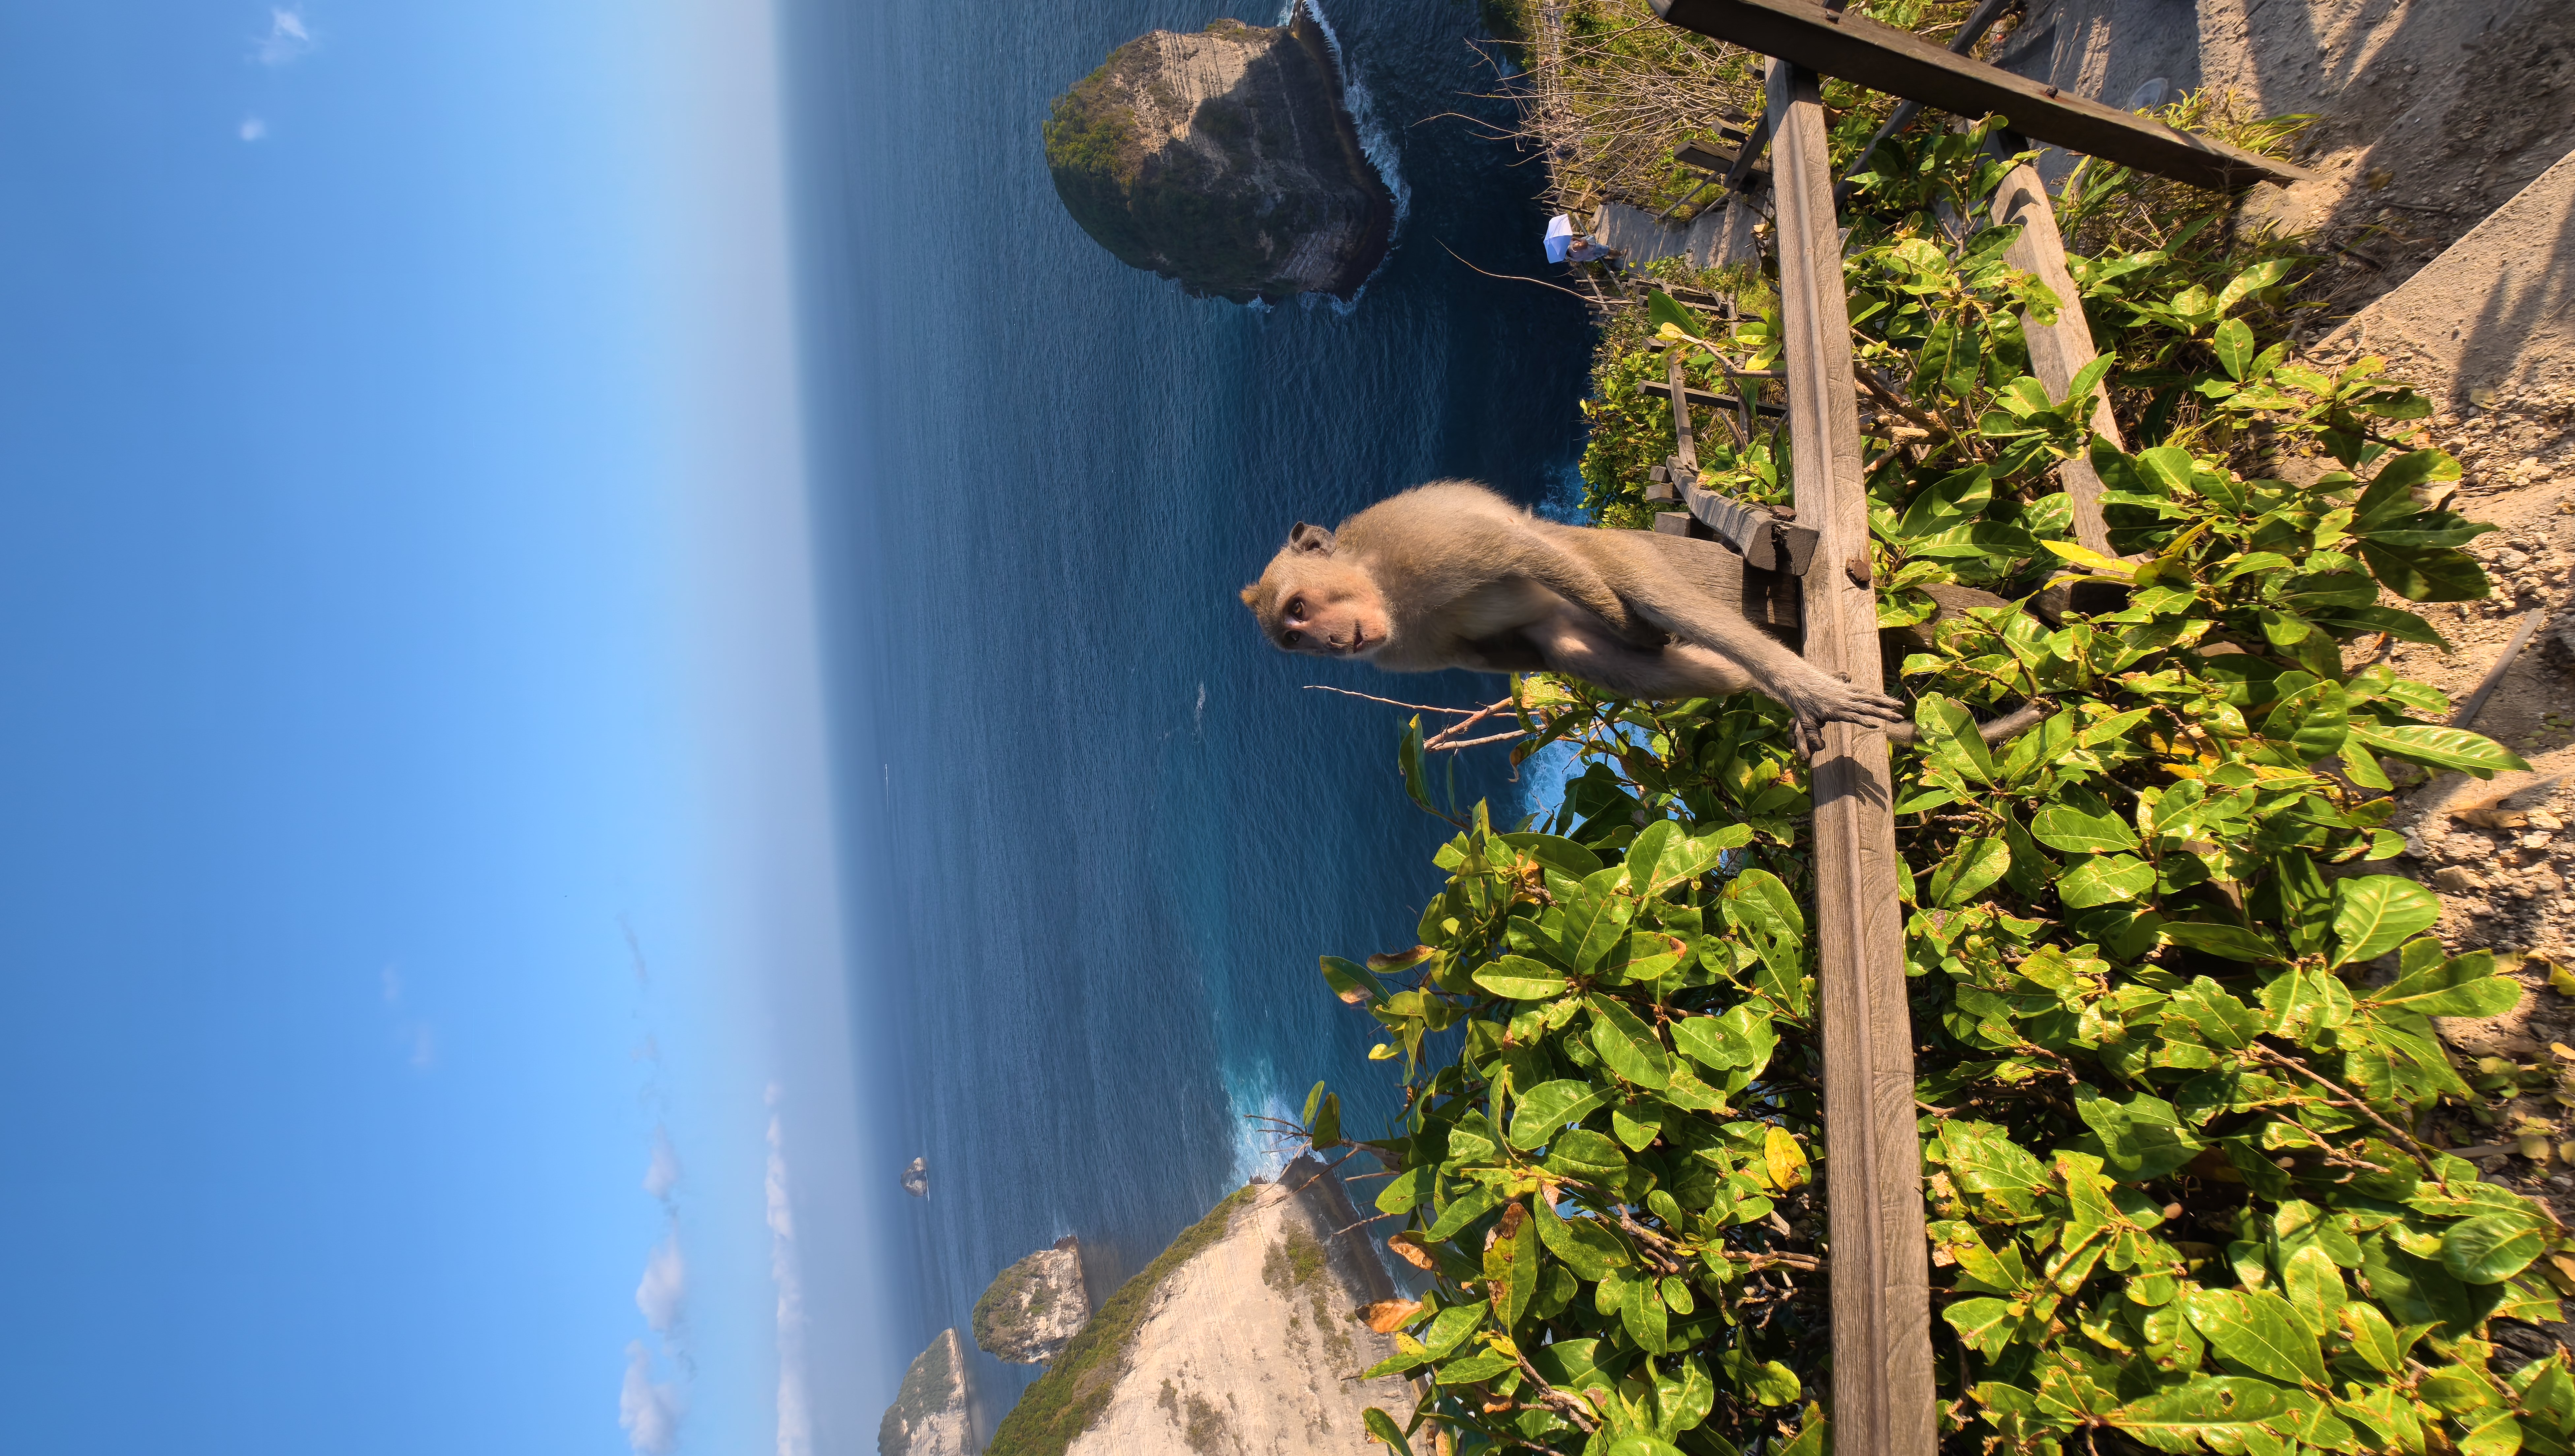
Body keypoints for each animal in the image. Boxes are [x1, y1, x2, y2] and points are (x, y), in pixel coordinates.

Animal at [1241, 480, 1932, 754]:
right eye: (1295, 638)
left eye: (1298, 609)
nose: (1329, 644)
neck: (1381, 588)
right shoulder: (1403, 650)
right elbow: (1504, 652)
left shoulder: (1419, 542)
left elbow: (1517, 552)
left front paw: (1640, 629)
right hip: (1569, 626)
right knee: (1576, 651)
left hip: (1610, 554)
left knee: (1627, 582)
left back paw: (1799, 687)